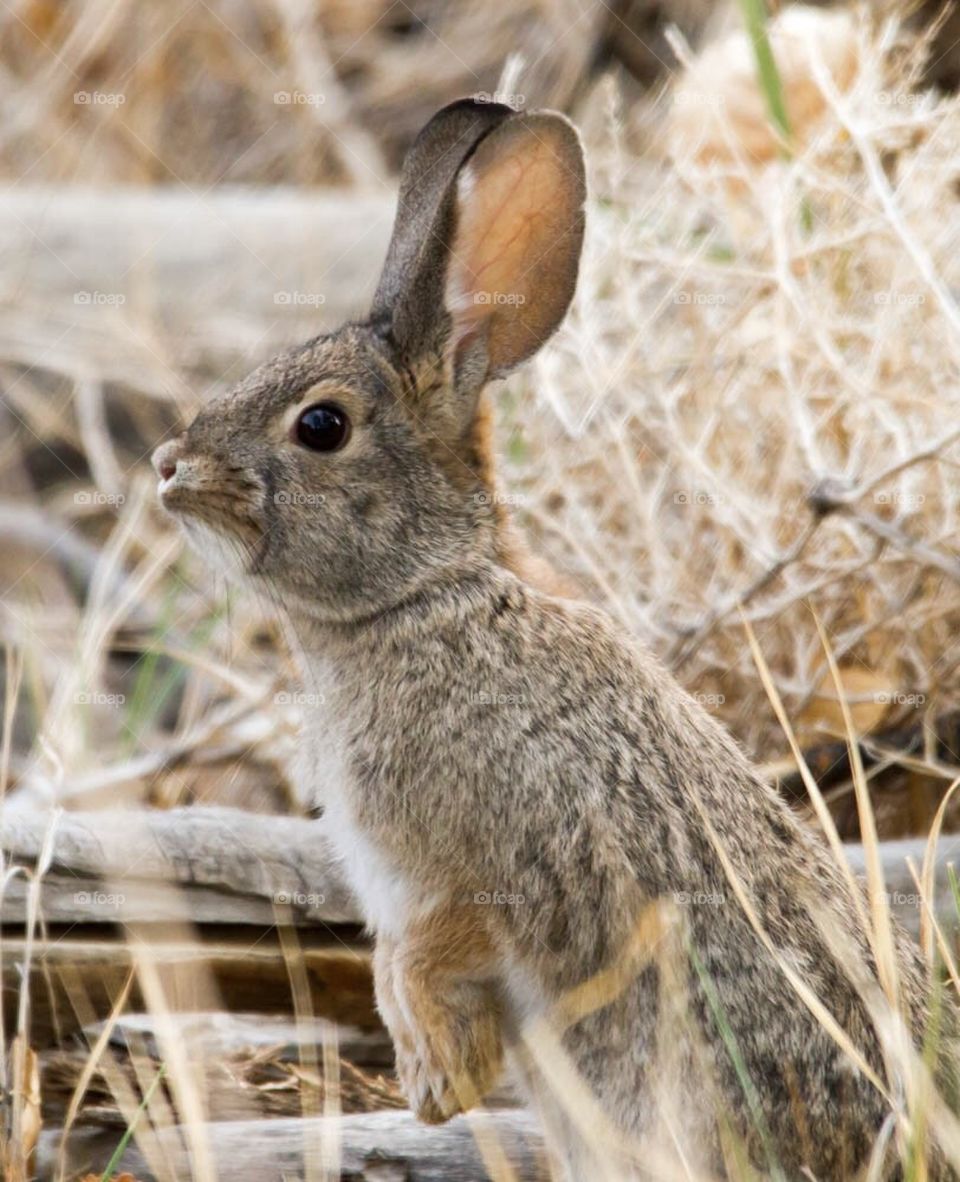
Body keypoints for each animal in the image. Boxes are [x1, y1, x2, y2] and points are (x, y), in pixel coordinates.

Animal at [153, 98, 956, 1180]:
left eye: (321, 426)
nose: (170, 467)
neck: (424, 596)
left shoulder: (482, 871)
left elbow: (430, 955)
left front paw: (438, 1081)